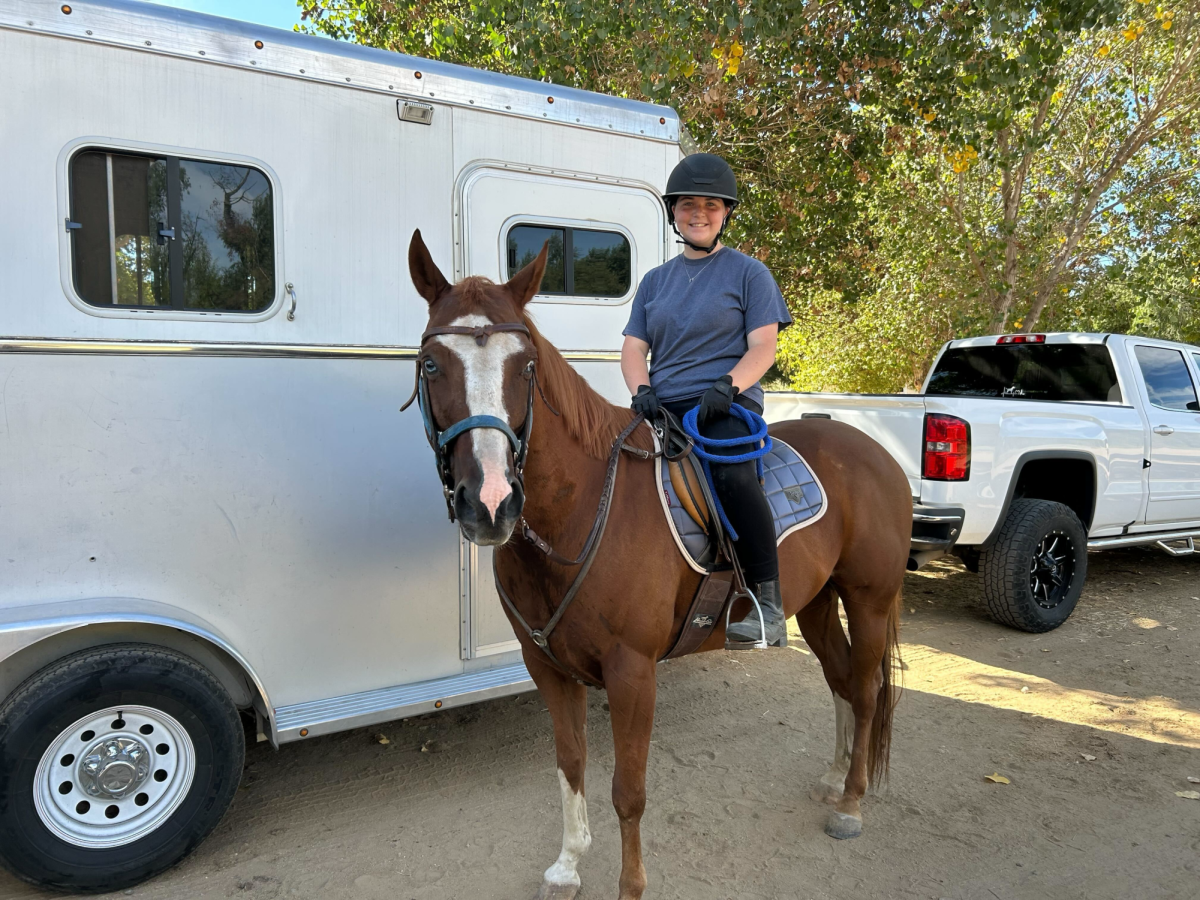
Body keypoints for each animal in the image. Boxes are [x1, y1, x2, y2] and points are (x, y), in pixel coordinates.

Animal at [405, 232, 907, 900]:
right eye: (433, 365)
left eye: (526, 366)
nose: (489, 503)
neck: (582, 508)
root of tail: (877, 452)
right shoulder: (548, 667)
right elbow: (570, 763)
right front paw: (568, 865)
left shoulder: (632, 672)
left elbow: (629, 791)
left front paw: (629, 885)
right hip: (820, 604)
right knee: (843, 681)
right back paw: (833, 779)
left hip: (869, 599)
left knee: (869, 689)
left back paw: (850, 803)